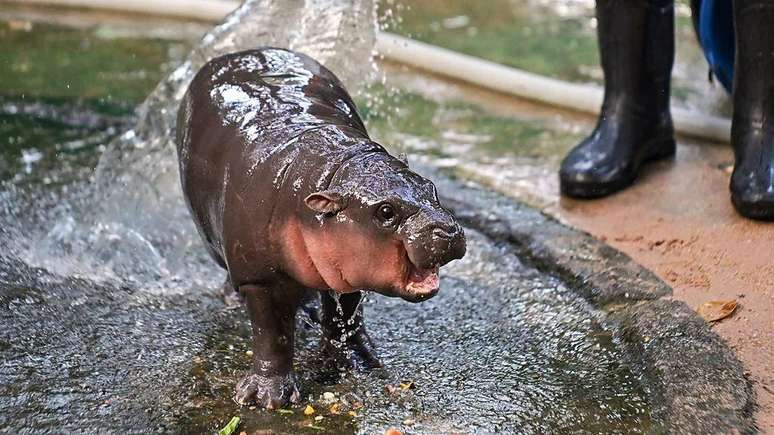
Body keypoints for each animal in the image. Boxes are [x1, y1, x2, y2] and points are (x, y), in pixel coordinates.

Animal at [177, 47, 466, 408]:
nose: (448, 230)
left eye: (430, 187)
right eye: (385, 211)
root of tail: (241, 52)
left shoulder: (348, 266)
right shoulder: (260, 278)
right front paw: (267, 398)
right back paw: (236, 301)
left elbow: (346, 317)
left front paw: (360, 363)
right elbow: (272, 335)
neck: (331, 172)